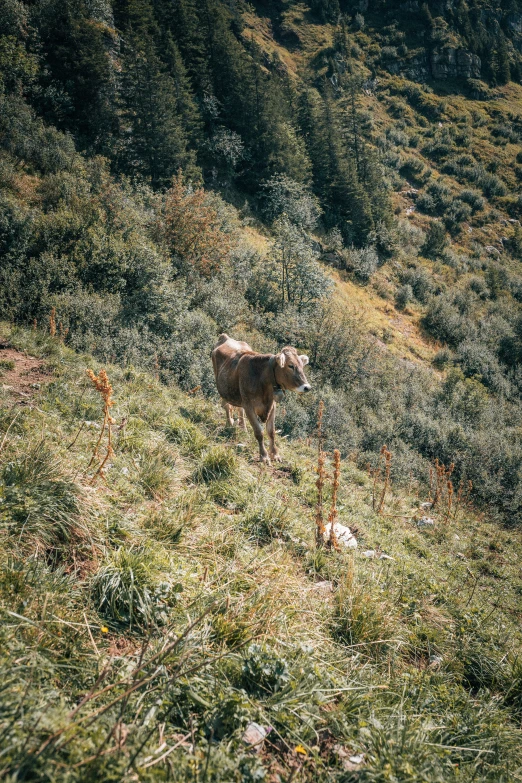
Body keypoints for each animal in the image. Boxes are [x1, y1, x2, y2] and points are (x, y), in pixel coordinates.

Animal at [210, 332, 308, 466]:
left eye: (302, 366)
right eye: (290, 366)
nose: (307, 387)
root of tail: (225, 337)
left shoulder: (272, 406)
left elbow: (271, 432)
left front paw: (275, 454)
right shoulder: (249, 406)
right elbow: (259, 432)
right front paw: (264, 456)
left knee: (239, 410)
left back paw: (243, 428)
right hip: (223, 387)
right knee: (227, 406)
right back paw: (229, 423)